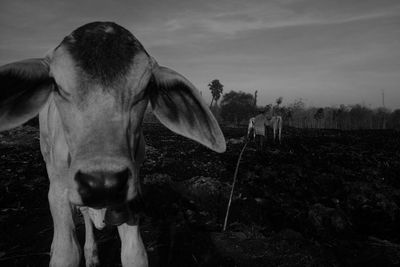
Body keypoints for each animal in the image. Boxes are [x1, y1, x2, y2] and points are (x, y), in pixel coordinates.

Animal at [0, 21, 225, 267]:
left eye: (145, 89)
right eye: (57, 86)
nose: (103, 184)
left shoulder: (131, 196)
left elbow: (134, 253)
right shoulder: (59, 190)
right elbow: (66, 252)